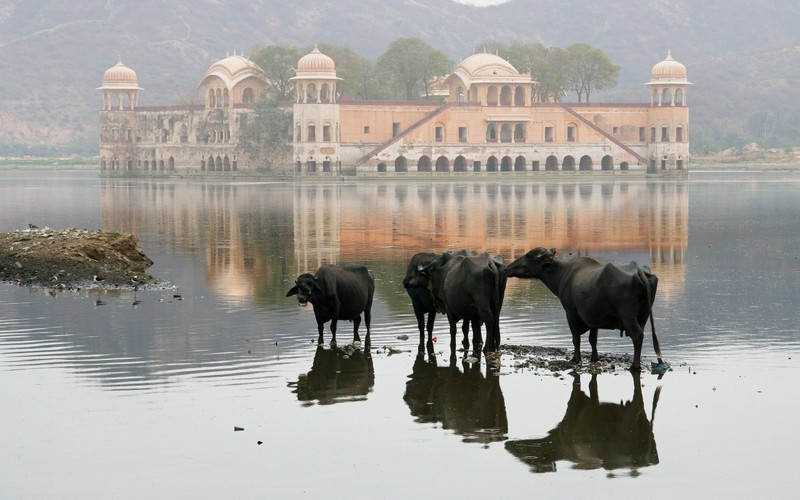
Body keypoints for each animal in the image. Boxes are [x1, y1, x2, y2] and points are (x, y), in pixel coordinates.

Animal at [506, 247, 664, 372]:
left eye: (528, 255)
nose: (507, 268)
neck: (562, 274)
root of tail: (639, 272)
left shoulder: (570, 312)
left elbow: (576, 338)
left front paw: (576, 358)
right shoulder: (593, 316)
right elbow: (592, 339)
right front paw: (594, 358)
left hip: (628, 315)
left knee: (637, 335)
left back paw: (634, 366)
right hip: (644, 315)